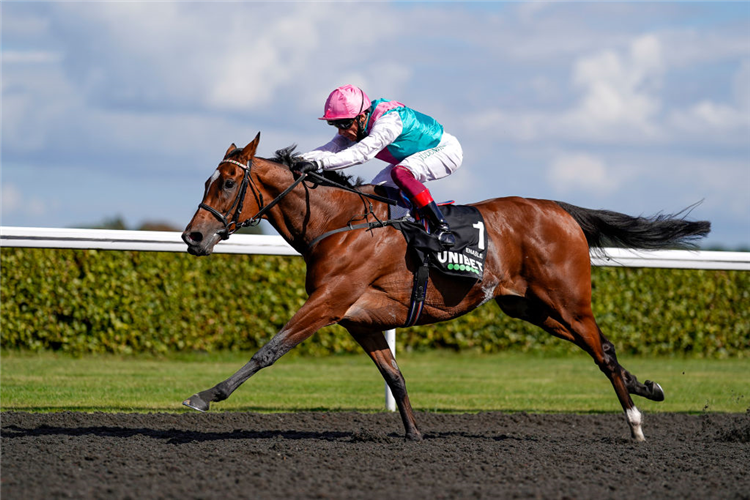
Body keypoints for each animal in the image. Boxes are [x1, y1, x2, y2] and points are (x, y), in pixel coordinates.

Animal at [181, 134, 712, 442]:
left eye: (226, 183)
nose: (193, 237)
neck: (340, 223)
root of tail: (560, 210)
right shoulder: (361, 320)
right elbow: (394, 376)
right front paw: (415, 434)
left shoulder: (329, 302)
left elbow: (269, 349)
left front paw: (206, 395)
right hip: (529, 307)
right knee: (606, 348)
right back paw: (647, 388)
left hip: (568, 300)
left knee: (600, 350)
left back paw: (635, 423)